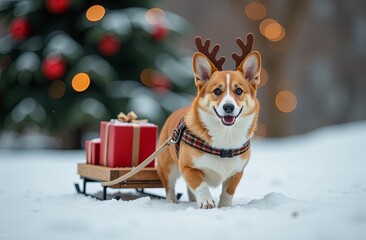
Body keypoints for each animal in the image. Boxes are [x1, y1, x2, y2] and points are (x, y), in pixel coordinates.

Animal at [157, 33, 260, 208]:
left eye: (239, 91)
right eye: (217, 91)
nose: (228, 107)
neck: (225, 137)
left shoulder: (237, 171)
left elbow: (229, 191)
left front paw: (224, 206)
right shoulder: (188, 167)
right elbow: (200, 184)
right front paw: (206, 201)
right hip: (168, 167)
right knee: (170, 187)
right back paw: (171, 202)